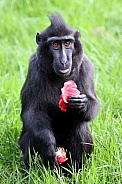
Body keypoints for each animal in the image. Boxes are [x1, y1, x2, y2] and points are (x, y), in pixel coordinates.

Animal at [19, 13, 98, 170]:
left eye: (67, 43)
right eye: (55, 45)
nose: (63, 60)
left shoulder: (86, 66)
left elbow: (93, 104)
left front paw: (83, 103)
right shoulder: (34, 68)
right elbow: (32, 112)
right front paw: (48, 143)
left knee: (80, 127)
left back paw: (75, 171)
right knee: (32, 135)